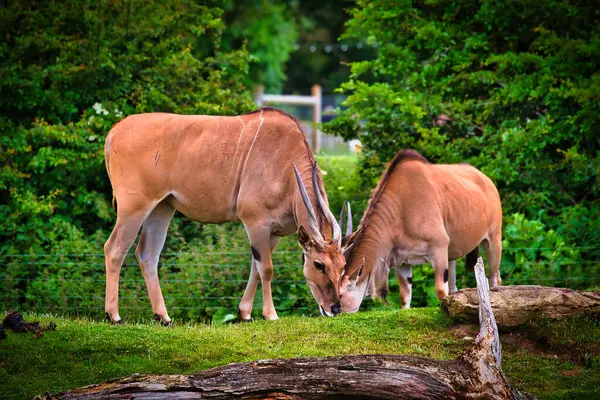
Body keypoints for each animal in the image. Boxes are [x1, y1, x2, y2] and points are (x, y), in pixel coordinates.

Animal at [103, 107, 344, 324]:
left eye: (342, 266)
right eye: (319, 264)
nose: (335, 308)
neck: (286, 163)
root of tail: (116, 129)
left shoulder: (274, 232)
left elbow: (255, 268)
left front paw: (245, 313)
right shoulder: (255, 222)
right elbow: (266, 268)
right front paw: (270, 314)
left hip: (161, 208)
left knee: (147, 254)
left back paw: (163, 317)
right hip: (133, 207)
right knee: (114, 248)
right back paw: (114, 316)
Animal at [338, 150, 502, 312]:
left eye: (340, 294)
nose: (334, 310)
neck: (402, 206)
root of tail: (487, 180)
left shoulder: (439, 249)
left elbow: (441, 292)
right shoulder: (402, 262)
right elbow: (405, 296)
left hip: (493, 240)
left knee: (495, 277)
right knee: (454, 287)